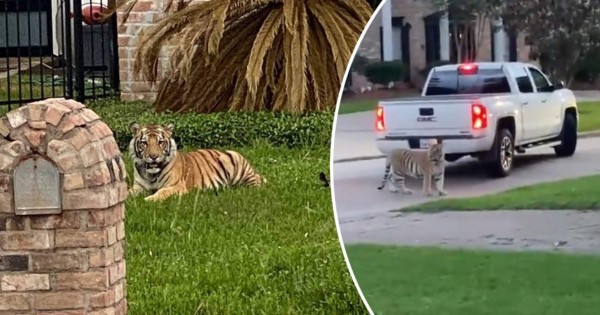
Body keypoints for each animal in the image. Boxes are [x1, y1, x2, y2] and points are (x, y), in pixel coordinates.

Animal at [128, 122, 264, 201]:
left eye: (160, 142)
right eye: (144, 143)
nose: (153, 156)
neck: (151, 174)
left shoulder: (176, 186)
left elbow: (162, 192)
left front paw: (148, 200)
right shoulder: (138, 187)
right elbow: (127, 192)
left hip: (233, 158)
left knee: (255, 183)